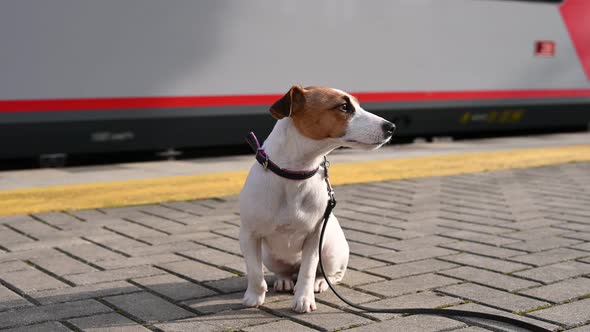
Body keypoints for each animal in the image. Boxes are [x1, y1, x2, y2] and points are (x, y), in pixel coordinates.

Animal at [238, 86, 396, 314]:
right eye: (344, 106)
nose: (391, 127)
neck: (295, 173)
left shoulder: (314, 238)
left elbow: (308, 271)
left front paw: (304, 299)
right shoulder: (248, 234)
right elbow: (254, 271)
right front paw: (254, 296)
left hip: (330, 252)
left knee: (328, 274)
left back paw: (320, 282)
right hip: (271, 256)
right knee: (283, 271)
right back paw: (284, 279)